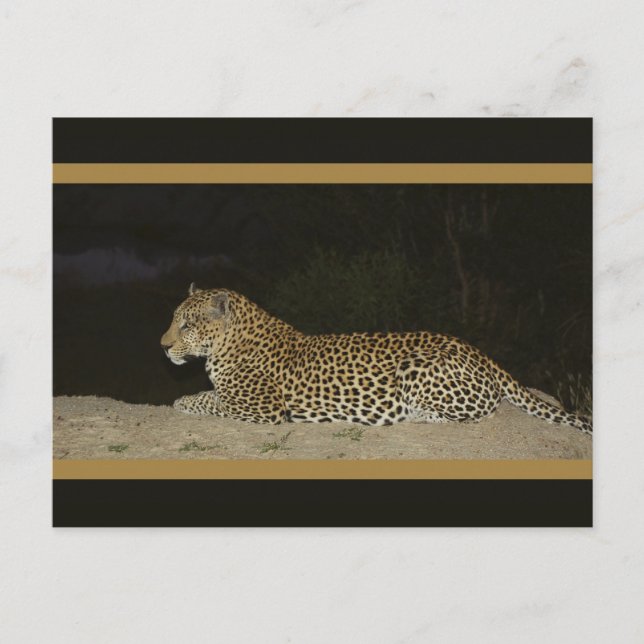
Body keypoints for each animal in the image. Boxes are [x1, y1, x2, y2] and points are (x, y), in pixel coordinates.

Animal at [160, 284, 592, 435]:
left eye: (186, 325)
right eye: (174, 320)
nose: (162, 346)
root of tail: (480, 352)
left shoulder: (262, 407)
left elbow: (211, 400)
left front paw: (183, 400)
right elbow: (211, 395)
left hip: (417, 367)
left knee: (473, 413)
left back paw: (410, 415)